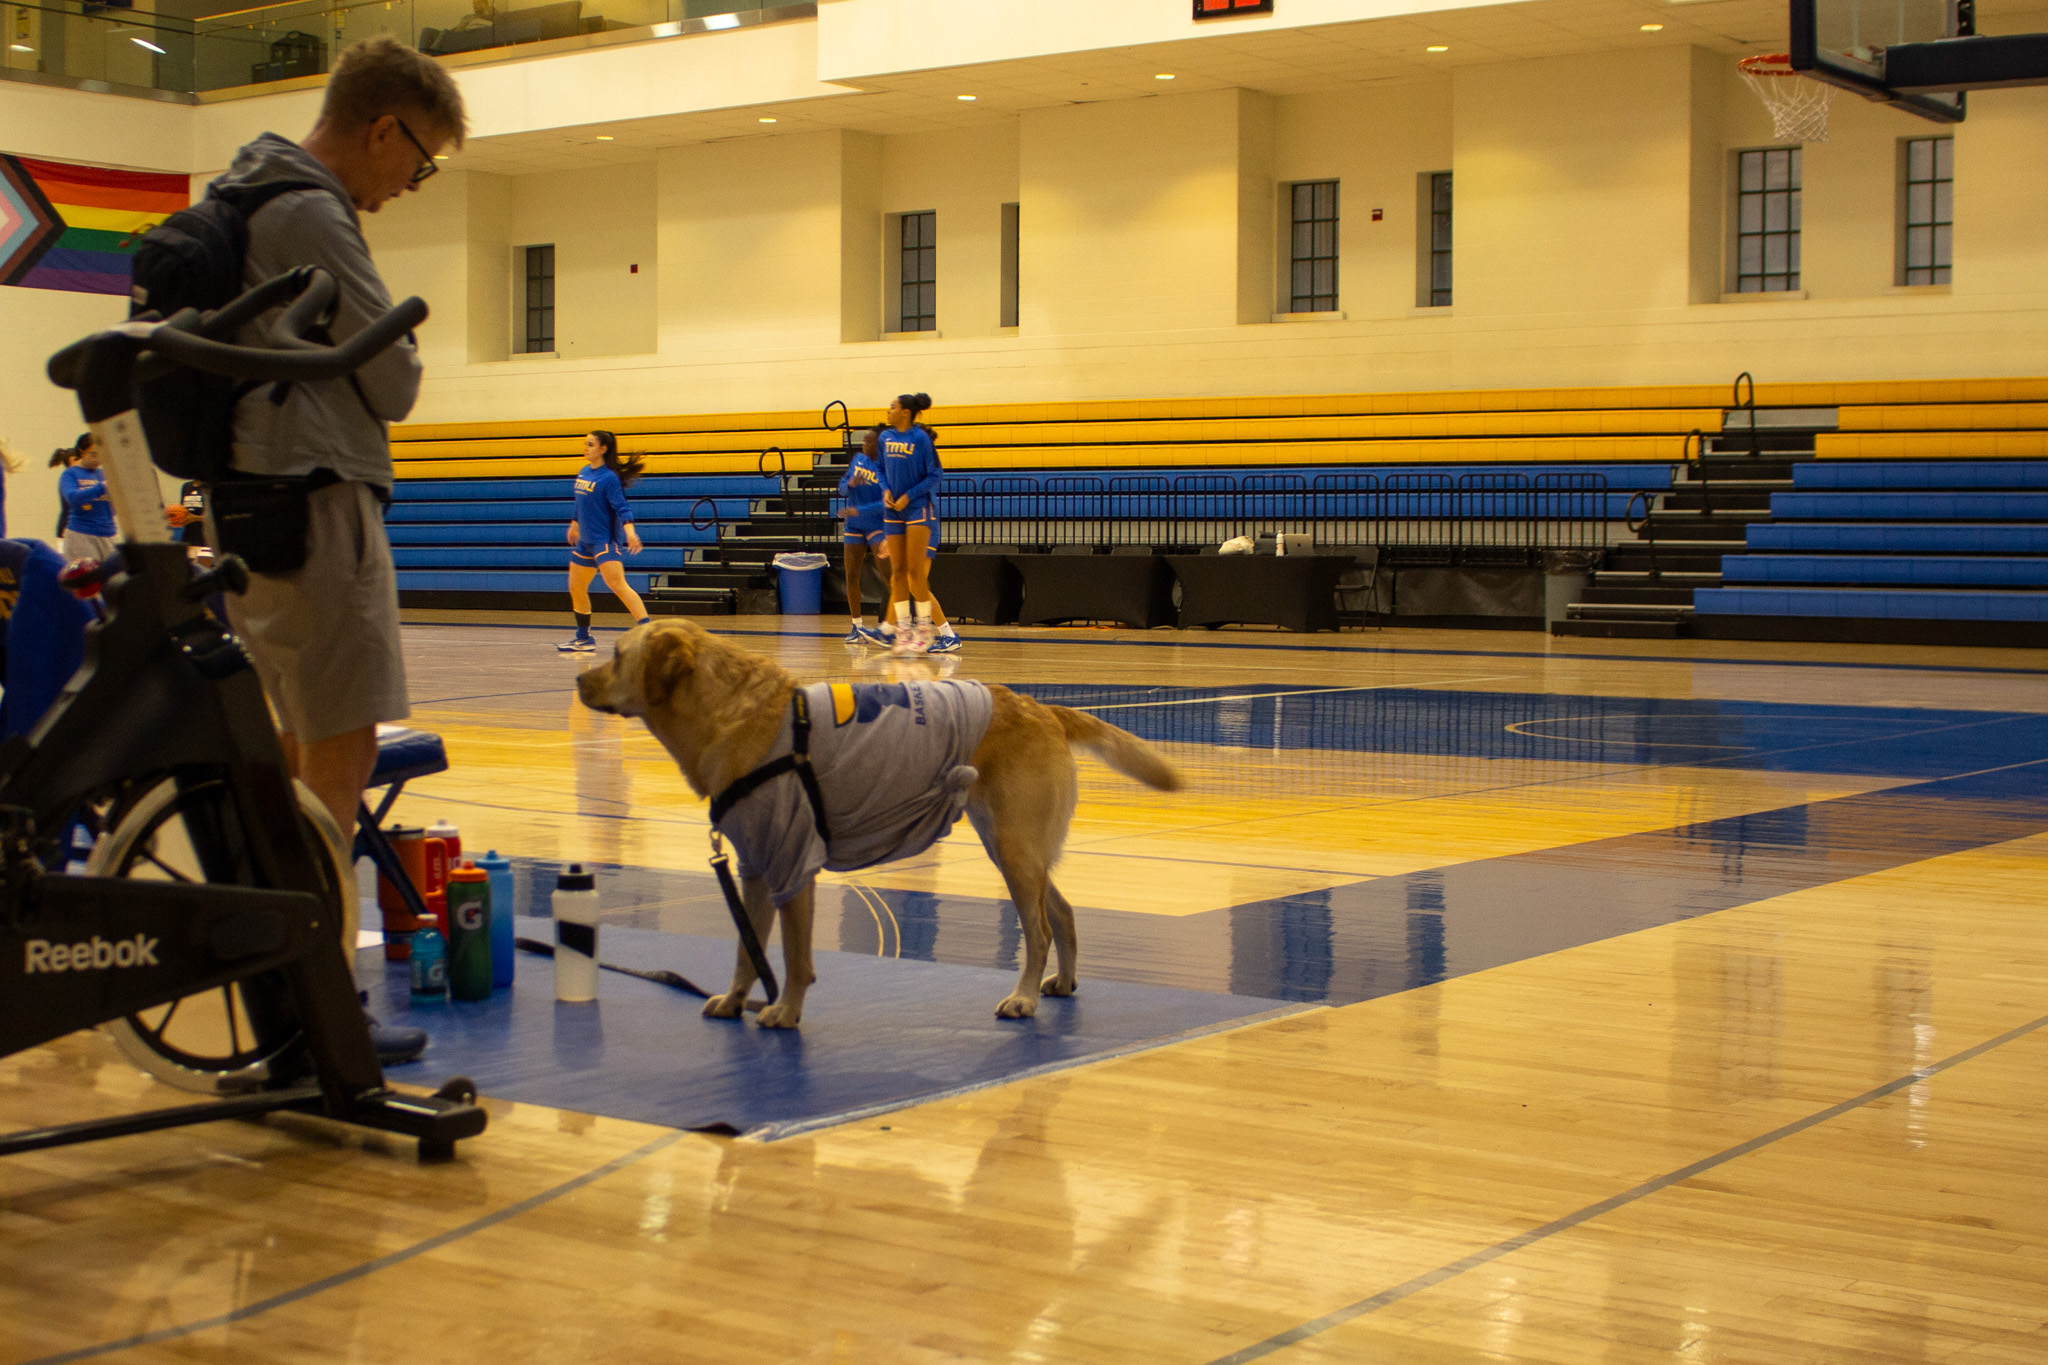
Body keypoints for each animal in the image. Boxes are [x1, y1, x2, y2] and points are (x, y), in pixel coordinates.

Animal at [577, 618, 1187, 1023]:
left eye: (616, 654)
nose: (580, 681)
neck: (728, 713)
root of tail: (1041, 707)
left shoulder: (792, 865)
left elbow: (794, 956)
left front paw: (785, 1011)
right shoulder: (755, 868)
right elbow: (748, 950)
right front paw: (735, 1001)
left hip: (1015, 850)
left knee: (1036, 929)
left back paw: (1025, 997)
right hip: (1015, 848)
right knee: (1060, 910)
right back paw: (1061, 981)